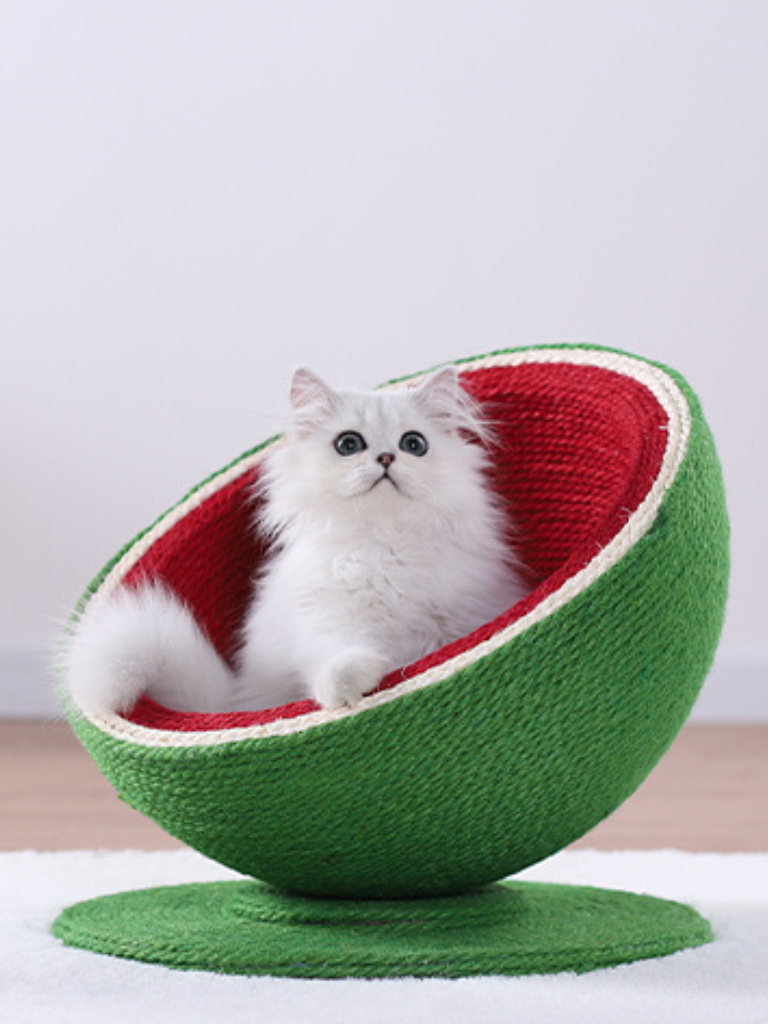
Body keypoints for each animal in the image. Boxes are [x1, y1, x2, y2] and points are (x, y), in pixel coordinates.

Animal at [64, 364, 528, 716]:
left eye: (414, 444)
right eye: (349, 444)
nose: (385, 458)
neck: (385, 543)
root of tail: (233, 702)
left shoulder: (467, 612)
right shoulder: (326, 621)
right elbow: (335, 661)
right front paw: (356, 683)